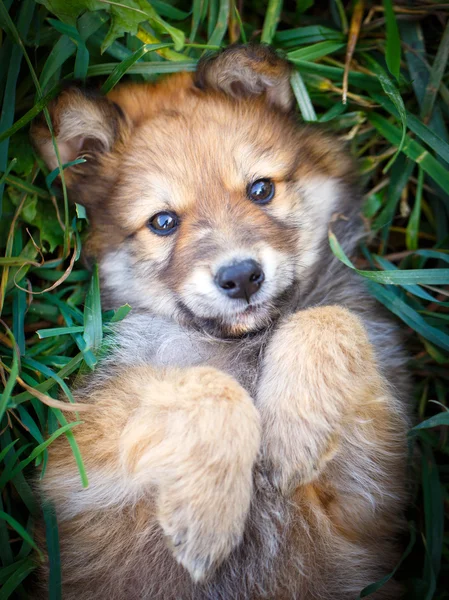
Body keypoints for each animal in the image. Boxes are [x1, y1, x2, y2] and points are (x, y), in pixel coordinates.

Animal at [30, 47, 410, 600]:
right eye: (164, 222)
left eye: (261, 190)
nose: (242, 277)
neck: (246, 344)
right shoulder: (79, 463)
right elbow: (204, 382)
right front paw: (207, 516)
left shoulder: (370, 483)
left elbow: (329, 318)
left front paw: (296, 436)